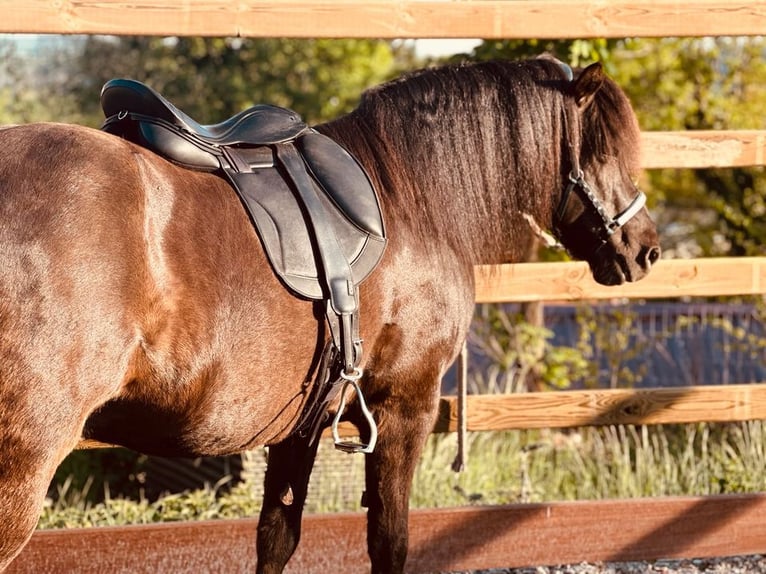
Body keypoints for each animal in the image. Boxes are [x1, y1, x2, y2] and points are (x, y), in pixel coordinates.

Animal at [0, 57, 660, 572]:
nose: (646, 249)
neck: (410, 197)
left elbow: (277, 537)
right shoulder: (405, 405)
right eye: (604, 150)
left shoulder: (300, 422)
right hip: (24, 462)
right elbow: (389, 541)